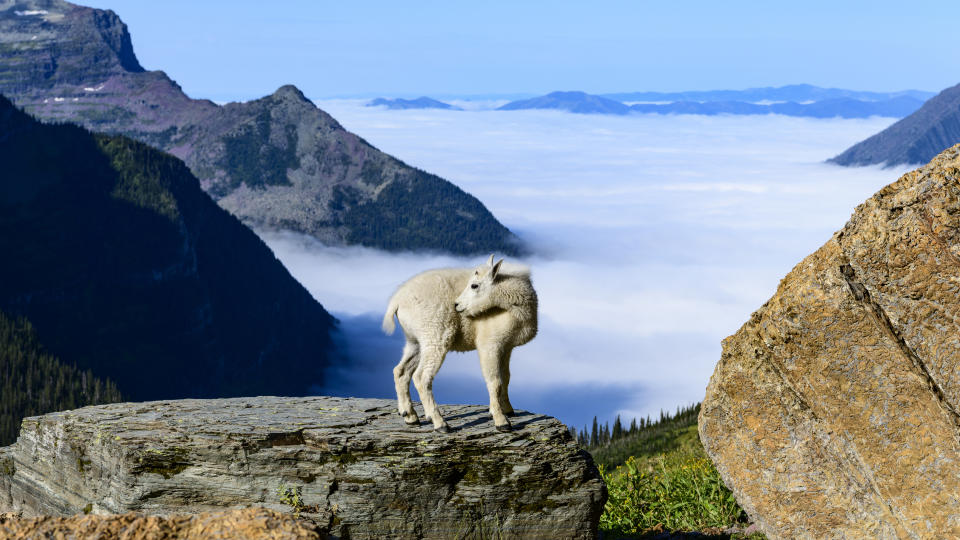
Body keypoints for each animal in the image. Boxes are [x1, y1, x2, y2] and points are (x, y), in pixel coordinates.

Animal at [380, 255, 536, 432]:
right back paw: (440, 423)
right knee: (421, 377)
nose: (457, 305)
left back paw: (410, 416)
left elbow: (506, 377)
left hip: (415, 341)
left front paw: (508, 409)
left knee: (401, 371)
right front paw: (501, 421)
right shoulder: (489, 344)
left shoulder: (507, 346)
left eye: (474, 285)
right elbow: (494, 381)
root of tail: (397, 301)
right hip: (435, 336)